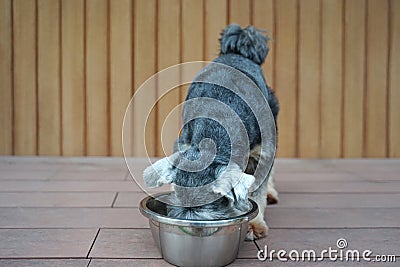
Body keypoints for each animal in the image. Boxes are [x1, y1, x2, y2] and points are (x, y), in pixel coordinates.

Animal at [143, 23, 278, 241]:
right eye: (179, 197)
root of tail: (237, 51)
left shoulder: (263, 152)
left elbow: (258, 189)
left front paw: (254, 225)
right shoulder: (184, 143)